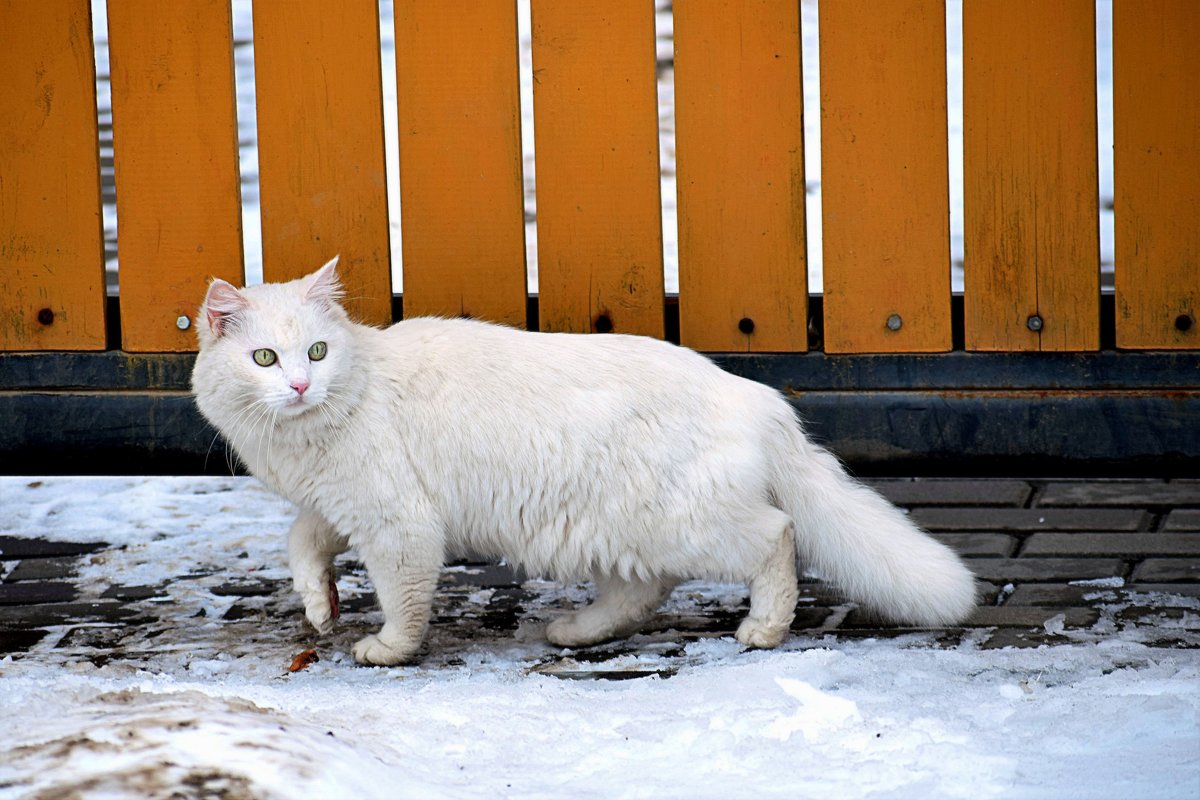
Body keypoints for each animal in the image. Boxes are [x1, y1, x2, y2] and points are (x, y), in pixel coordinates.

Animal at [187, 260, 974, 666]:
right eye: (266, 358)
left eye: (317, 352)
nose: (300, 385)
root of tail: (756, 396)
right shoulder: (336, 504)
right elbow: (301, 543)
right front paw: (320, 605)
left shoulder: (398, 525)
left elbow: (403, 603)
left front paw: (385, 647)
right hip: (612, 532)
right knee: (641, 593)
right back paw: (575, 632)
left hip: (680, 523)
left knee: (776, 537)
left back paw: (764, 628)